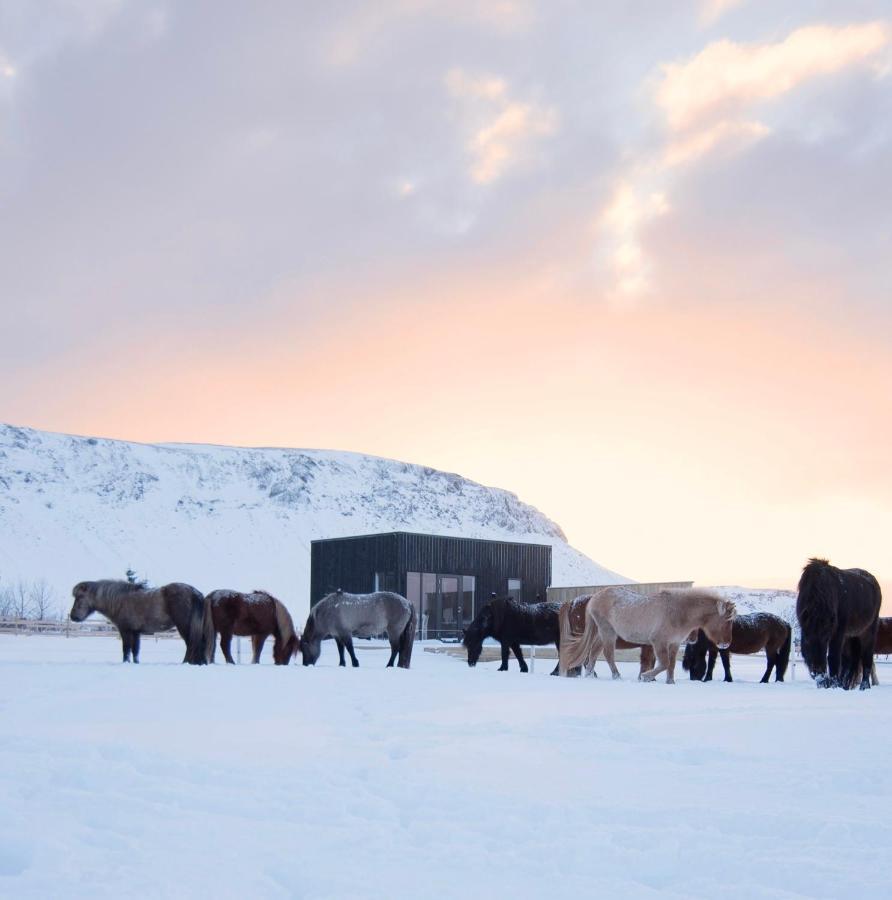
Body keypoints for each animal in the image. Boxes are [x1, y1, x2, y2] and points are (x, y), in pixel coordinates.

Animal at [68, 580, 214, 664]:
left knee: (191, 644)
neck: (120, 600)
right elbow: (135, 651)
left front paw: (126, 663)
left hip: (184, 626)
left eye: (79, 597)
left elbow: (126, 649)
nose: (73, 616)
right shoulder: (135, 632)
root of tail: (195, 593)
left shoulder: (125, 631)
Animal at [560, 584, 736, 684]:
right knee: (608, 654)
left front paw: (670, 682)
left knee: (594, 653)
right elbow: (664, 663)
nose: (726, 644)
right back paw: (616, 676)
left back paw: (590, 675)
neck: (678, 612)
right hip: (607, 632)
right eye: (727, 620)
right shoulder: (658, 642)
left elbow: (671, 665)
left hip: (601, 633)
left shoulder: (673, 644)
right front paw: (646, 677)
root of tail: (594, 598)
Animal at [796, 556, 880, 688]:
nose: (820, 676)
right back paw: (845, 685)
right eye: (807, 641)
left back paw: (863, 686)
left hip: (868, 632)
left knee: (867, 659)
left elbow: (833, 657)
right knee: (852, 662)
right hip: (851, 636)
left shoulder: (838, 632)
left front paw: (834, 683)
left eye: (825, 638)